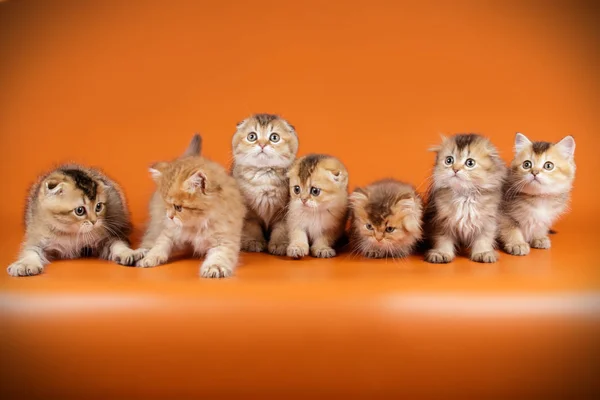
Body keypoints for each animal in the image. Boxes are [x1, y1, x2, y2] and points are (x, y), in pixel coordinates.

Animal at [6, 164, 138, 276]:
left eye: (98, 207)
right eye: (80, 210)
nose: (94, 221)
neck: (70, 233)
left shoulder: (103, 238)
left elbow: (116, 243)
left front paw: (127, 253)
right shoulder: (37, 235)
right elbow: (30, 250)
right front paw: (25, 264)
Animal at [137, 134, 245, 278]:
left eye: (178, 207)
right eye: (167, 205)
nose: (169, 216)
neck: (198, 224)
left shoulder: (225, 238)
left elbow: (219, 255)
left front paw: (214, 267)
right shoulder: (170, 230)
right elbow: (161, 243)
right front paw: (151, 257)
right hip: (157, 222)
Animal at [231, 114, 298, 255]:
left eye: (274, 137)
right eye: (252, 136)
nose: (262, 144)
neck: (264, 176)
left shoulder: (284, 213)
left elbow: (282, 229)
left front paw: (279, 244)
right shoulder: (248, 214)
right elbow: (251, 227)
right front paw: (253, 241)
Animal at [422, 134, 506, 264]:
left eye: (470, 163)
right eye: (449, 160)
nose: (455, 169)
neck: (464, 196)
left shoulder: (487, 221)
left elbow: (483, 239)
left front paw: (483, 253)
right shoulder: (441, 221)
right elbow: (442, 239)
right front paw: (441, 253)